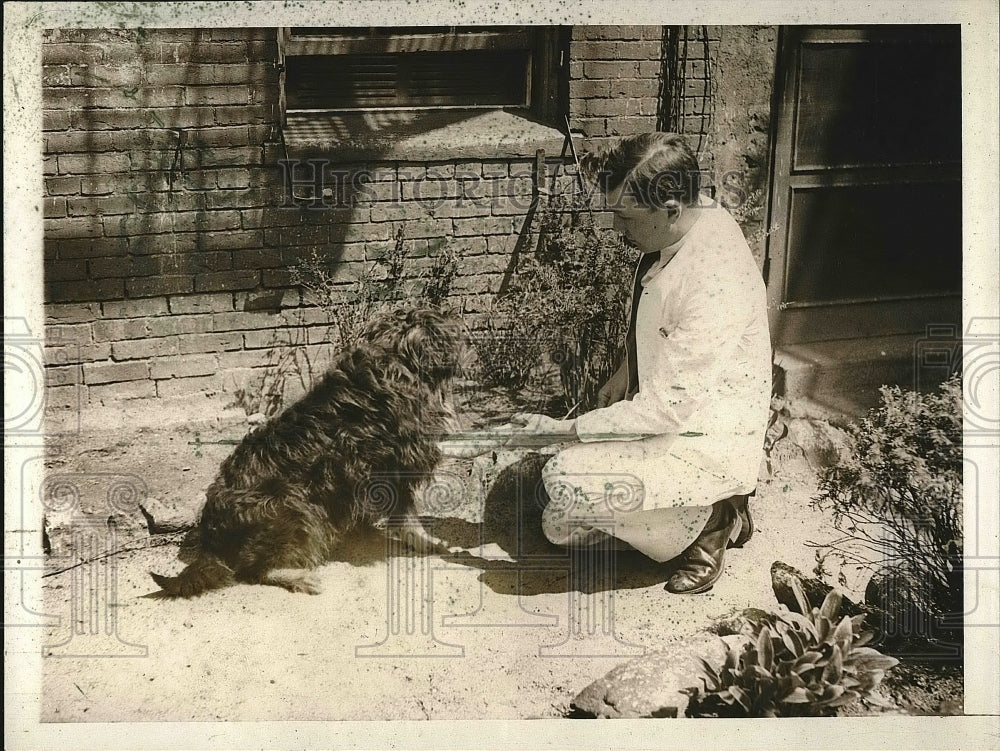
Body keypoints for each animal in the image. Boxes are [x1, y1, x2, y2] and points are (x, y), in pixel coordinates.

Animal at [150, 306, 466, 600]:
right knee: (253, 570)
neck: (395, 362)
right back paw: (297, 576)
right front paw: (423, 541)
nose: (461, 325)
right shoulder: (397, 465)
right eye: (440, 321)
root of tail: (210, 534)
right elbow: (408, 515)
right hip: (292, 505)